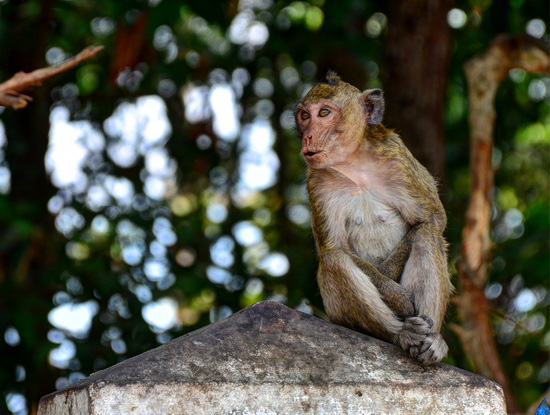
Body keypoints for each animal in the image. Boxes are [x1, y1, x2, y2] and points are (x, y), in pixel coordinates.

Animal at [298, 71, 452, 368]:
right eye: (304, 116)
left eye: (324, 113)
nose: (308, 136)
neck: (353, 163)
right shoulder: (316, 181)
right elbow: (334, 248)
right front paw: (397, 298)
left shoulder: (397, 156)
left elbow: (431, 219)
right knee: (334, 260)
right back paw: (401, 333)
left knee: (428, 236)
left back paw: (432, 341)